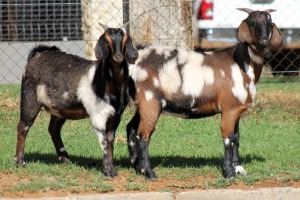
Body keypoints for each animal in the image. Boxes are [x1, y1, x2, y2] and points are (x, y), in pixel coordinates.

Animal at [15, 22, 138, 177]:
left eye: (125, 40)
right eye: (107, 40)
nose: (118, 56)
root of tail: (36, 55)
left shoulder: (116, 115)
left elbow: (110, 140)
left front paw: (109, 167)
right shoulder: (98, 115)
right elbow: (104, 141)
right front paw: (109, 171)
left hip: (59, 109)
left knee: (53, 129)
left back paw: (66, 159)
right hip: (29, 97)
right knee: (23, 126)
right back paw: (20, 162)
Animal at [126, 8, 284, 179]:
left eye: (270, 23)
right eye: (252, 22)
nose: (264, 41)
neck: (241, 64)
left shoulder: (237, 109)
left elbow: (236, 138)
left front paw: (239, 169)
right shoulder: (229, 107)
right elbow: (228, 139)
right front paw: (229, 172)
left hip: (142, 103)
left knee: (131, 129)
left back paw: (137, 167)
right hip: (150, 101)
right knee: (144, 135)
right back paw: (149, 173)